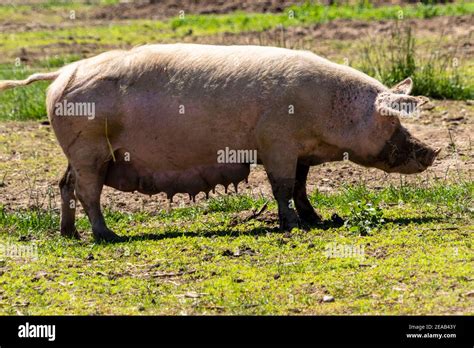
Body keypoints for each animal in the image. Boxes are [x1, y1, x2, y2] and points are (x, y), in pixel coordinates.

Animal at [0, 43, 440, 241]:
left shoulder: (298, 153)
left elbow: (301, 186)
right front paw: (293, 226)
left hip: (80, 153)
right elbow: (282, 188)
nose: (432, 152)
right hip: (90, 149)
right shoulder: (277, 144)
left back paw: (68, 234)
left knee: (65, 185)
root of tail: (61, 73)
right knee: (87, 192)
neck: (327, 111)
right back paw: (107, 236)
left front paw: (315, 219)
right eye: (392, 120)